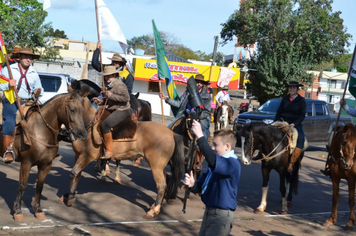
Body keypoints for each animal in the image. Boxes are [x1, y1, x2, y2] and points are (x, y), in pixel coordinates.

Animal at [0, 92, 88, 221]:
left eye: (83, 110)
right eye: (72, 109)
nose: (83, 134)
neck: (40, 130)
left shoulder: (46, 165)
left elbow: (40, 186)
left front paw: (38, 210)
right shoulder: (26, 163)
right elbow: (22, 186)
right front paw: (18, 212)